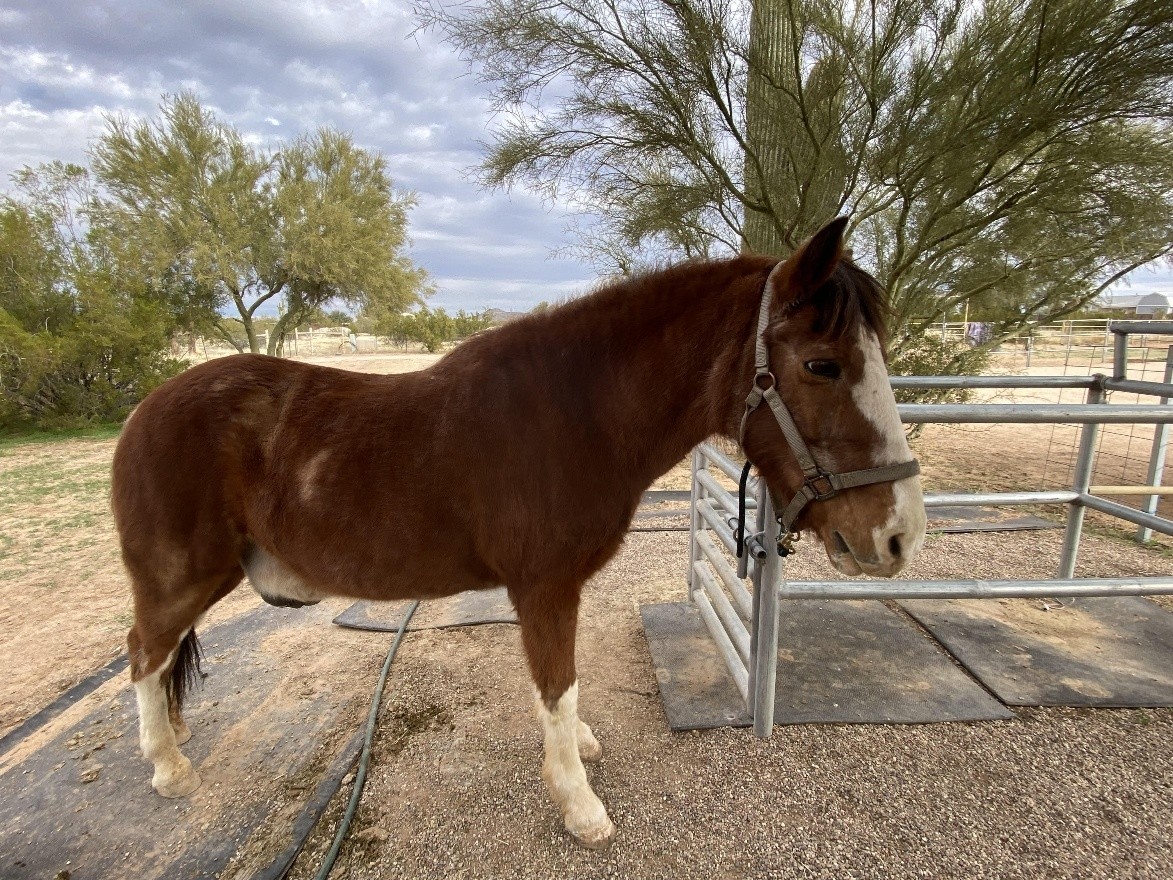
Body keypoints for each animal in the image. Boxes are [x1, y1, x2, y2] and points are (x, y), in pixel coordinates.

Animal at [112, 213, 924, 849]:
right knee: (145, 654)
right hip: (179, 578)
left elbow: (564, 685)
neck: (574, 413)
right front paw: (580, 806)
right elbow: (556, 685)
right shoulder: (544, 589)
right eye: (822, 364)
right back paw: (168, 768)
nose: (900, 536)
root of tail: (146, 408)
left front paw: (581, 749)